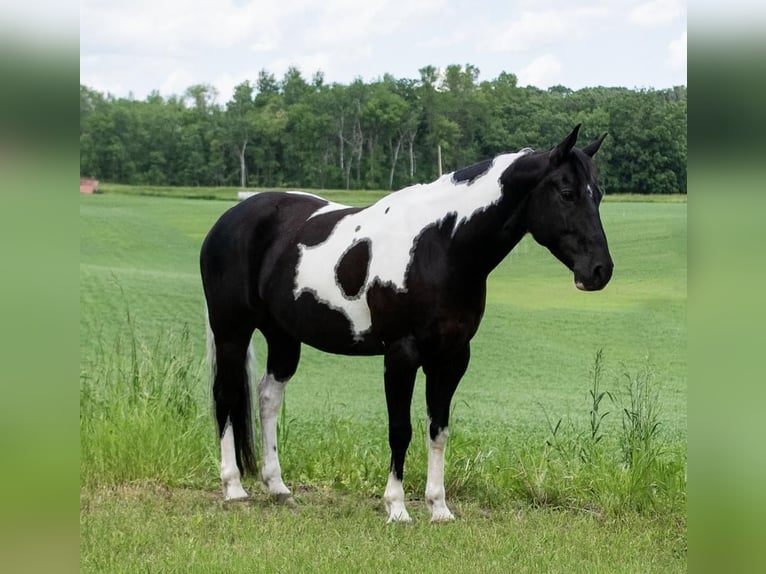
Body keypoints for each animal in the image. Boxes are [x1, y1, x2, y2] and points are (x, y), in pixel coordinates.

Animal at [201, 125, 616, 520]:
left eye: (597, 194)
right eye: (567, 192)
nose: (600, 271)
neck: (440, 246)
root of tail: (229, 219)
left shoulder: (452, 356)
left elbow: (438, 430)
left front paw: (439, 508)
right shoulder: (401, 354)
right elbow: (400, 430)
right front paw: (397, 508)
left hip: (283, 337)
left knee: (267, 397)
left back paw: (278, 487)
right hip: (232, 331)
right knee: (226, 395)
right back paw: (234, 487)